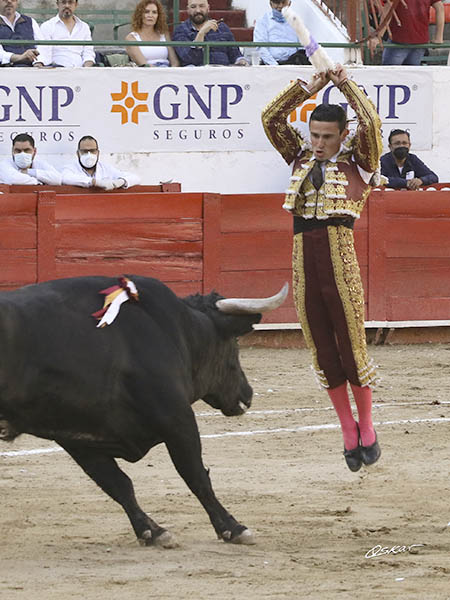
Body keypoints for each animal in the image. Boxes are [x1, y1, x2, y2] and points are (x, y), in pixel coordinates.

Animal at [0, 274, 286, 548]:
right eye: (233, 343)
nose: (247, 394)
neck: (176, 329)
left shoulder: (78, 437)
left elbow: (118, 484)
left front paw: (151, 532)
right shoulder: (177, 418)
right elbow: (195, 476)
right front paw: (233, 528)